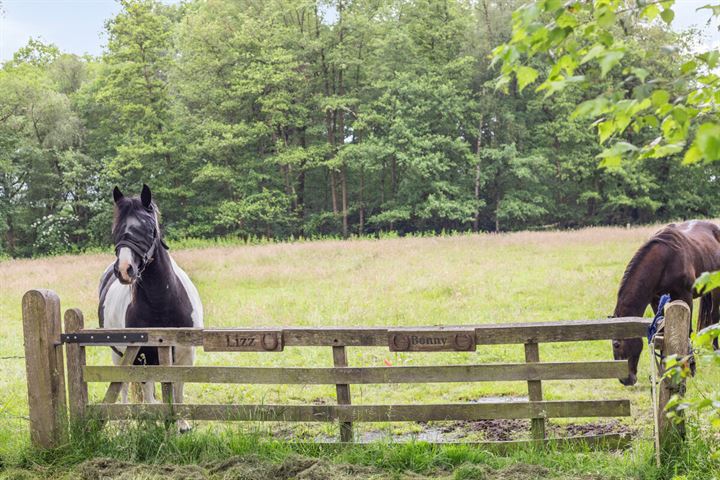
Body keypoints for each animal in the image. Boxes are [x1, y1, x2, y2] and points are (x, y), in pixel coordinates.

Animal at [97, 185, 201, 432]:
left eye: (148, 227)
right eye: (116, 229)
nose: (124, 269)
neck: (162, 302)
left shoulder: (184, 353)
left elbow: (177, 387)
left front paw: (182, 424)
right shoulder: (141, 354)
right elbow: (147, 390)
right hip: (120, 354)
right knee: (125, 386)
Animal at [612, 221, 720, 386]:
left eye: (616, 344)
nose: (625, 380)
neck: (665, 262)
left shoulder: (684, 296)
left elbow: (687, 331)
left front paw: (690, 368)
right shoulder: (656, 300)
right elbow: (661, 331)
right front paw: (663, 369)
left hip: (716, 287)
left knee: (715, 316)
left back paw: (715, 350)